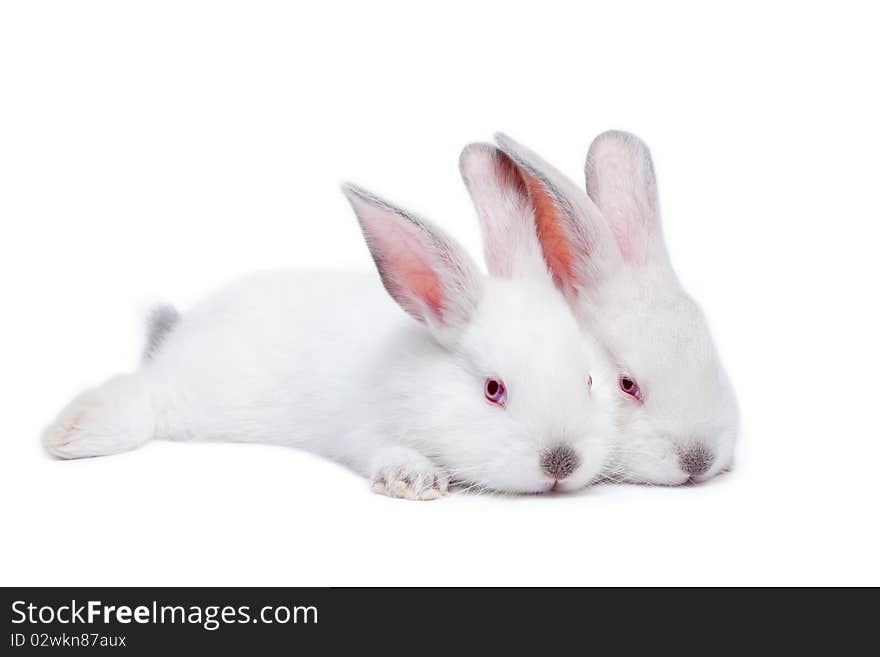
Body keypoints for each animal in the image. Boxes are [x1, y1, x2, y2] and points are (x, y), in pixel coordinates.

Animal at [43, 179, 620, 498]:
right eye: (492, 390)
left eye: (590, 381)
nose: (561, 464)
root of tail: (182, 331)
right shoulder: (369, 428)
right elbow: (387, 451)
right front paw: (414, 481)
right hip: (187, 397)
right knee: (140, 394)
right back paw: (69, 435)